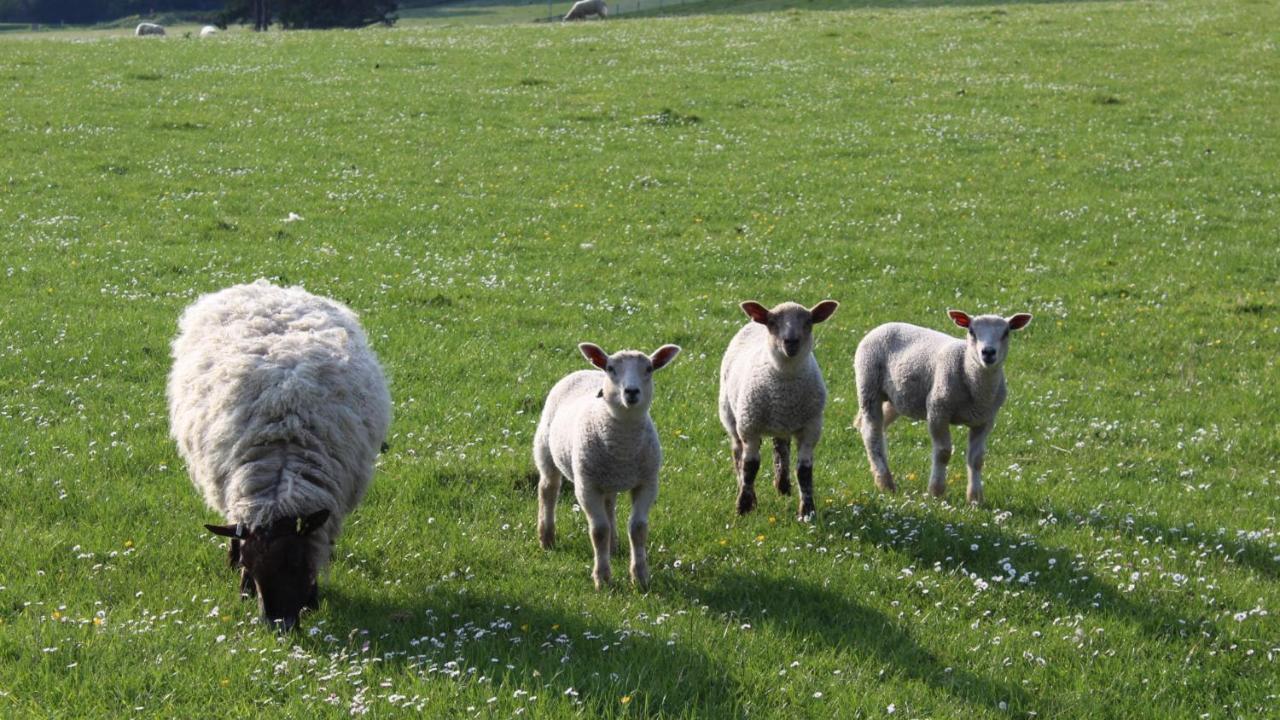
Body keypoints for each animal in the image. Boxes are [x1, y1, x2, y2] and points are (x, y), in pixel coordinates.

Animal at [529, 340, 680, 589]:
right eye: (611, 368)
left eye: (649, 368)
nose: (631, 392)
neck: (623, 446)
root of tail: (584, 370)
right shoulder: (586, 486)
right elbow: (599, 530)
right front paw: (603, 578)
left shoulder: (647, 483)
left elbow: (638, 528)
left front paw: (640, 576)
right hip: (545, 450)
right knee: (548, 490)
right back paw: (547, 537)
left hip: (607, 478)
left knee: (609, 505)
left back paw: (613, 545)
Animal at [721, 299, 839, 517]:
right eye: (772, 323)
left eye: (808, 322)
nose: (791, 341)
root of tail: (753, 323)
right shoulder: (749, 428)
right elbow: (750, 467)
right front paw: (744, 506)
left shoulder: (811, 429)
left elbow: (804, 471)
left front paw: (807, 511)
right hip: (731, 416)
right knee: (738, 454)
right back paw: (744, 486)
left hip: (782, 425)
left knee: (781, 448)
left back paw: (783, 485)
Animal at [855, 310, 1034, 504]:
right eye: (971, 331)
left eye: (1006, 332)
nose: (988, 352)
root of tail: (883, 326)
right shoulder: (937, 411)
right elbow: (943, 452)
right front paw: (936, 492)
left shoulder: (985, 419)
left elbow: (977, 459)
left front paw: (975, 499)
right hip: (868, 385)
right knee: (872, 433)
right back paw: (886, 483)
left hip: (895, 399)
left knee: (877, 429)